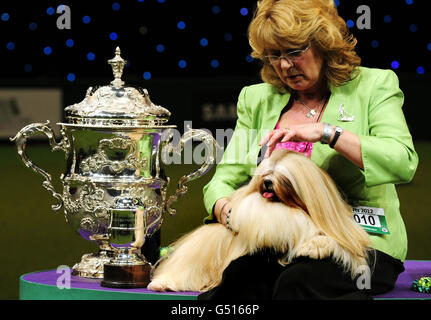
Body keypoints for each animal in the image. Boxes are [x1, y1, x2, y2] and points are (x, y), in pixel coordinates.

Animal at [148, 150, 372, 292]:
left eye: (285, 178)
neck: (288, 208)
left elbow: (329, 240)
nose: (267, 182)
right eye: (266, 173)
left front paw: (312, 247)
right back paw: (161, 283)